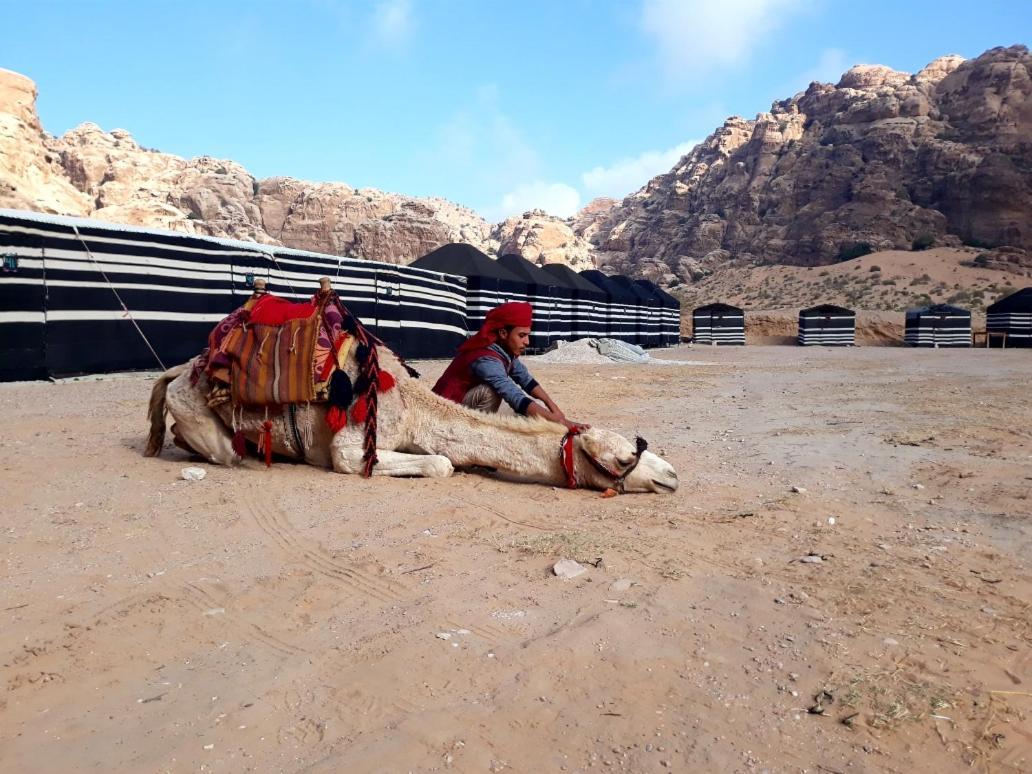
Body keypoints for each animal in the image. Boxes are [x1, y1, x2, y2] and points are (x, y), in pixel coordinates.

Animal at [143, 340, 676, 497]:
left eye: (635, 443)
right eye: (623, 458)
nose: (672, 475)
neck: (414, 409)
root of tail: (177, 370)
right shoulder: (349, 447)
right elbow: (440, 463)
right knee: (223, 451)